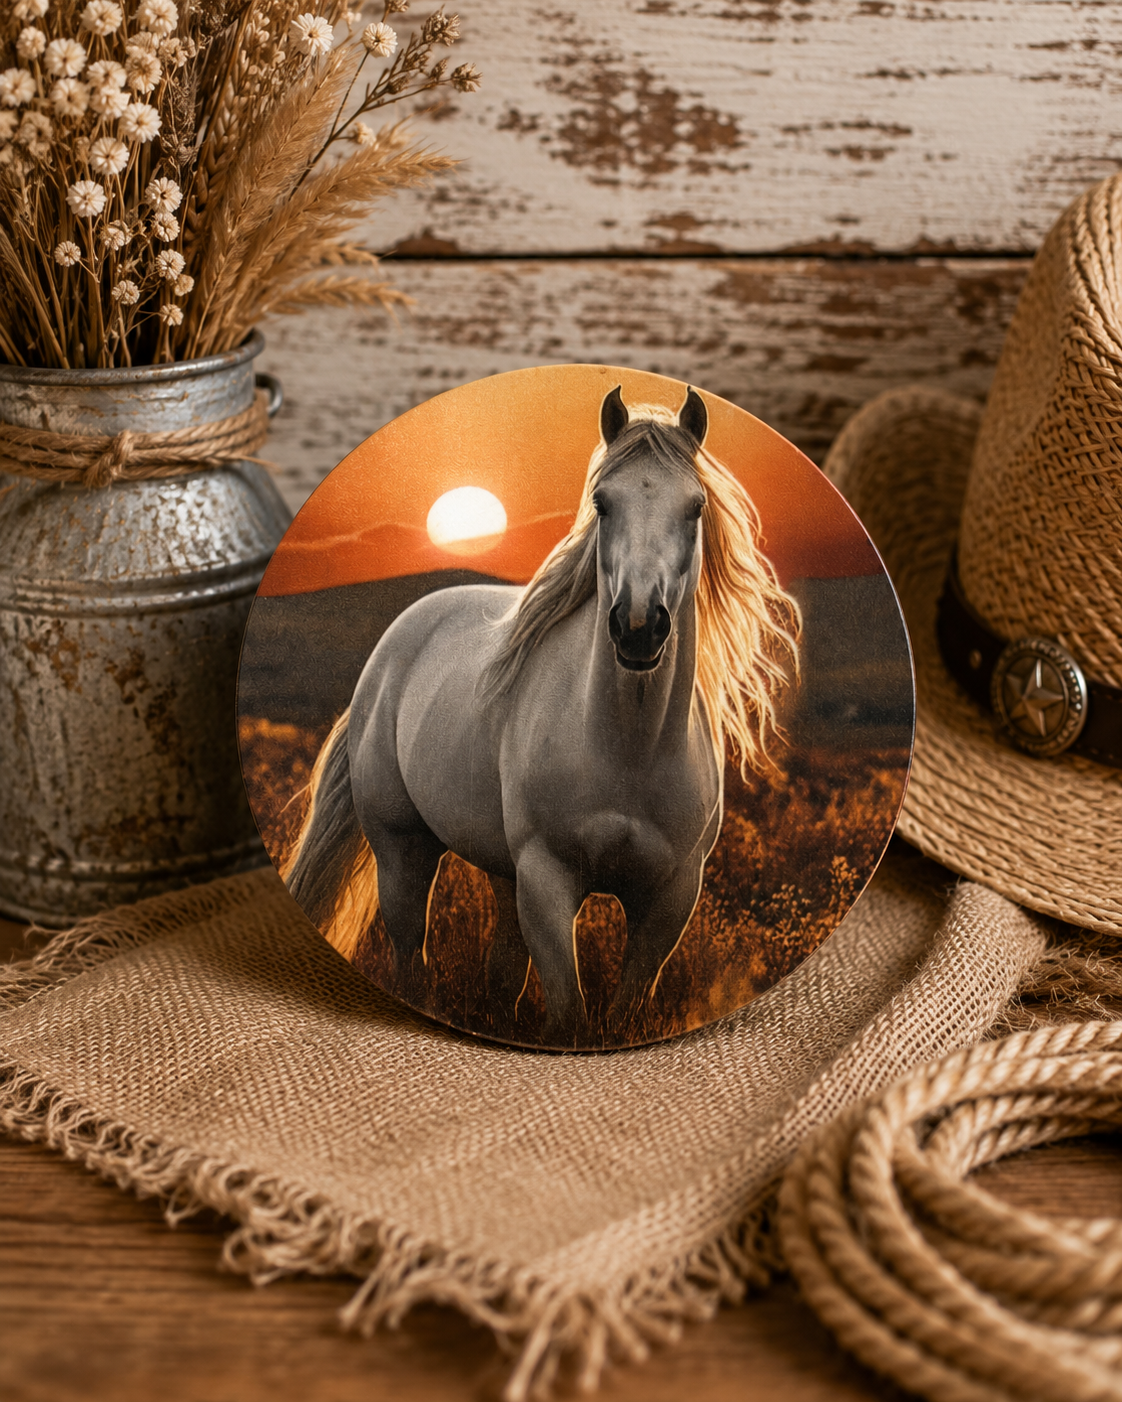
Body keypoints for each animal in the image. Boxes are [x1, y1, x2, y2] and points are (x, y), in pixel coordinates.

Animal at [285, 385, 800, 1045]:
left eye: (695, 507)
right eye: (602, 503)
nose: (638, 627)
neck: (626, 750)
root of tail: (394, 645)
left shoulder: (671, 897)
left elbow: (622, 1010)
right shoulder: (548, 881)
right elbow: (570, 1015)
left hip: (504, 875)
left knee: (501, 978)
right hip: (404, 849)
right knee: (410, 957)